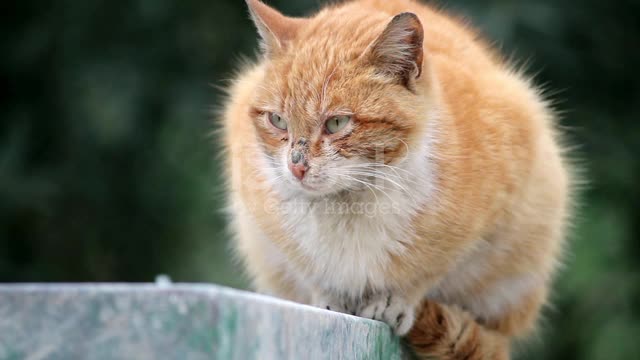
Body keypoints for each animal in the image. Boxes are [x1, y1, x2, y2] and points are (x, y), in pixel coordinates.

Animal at [221, 0, 576, 358]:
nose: (296, 168)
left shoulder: (474, 226)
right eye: (277, 120)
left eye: (336, 123)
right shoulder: (267, 224)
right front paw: (329, 299)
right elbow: (310, 272)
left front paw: (393, 301)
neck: (349, 206)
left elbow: (425, 271)